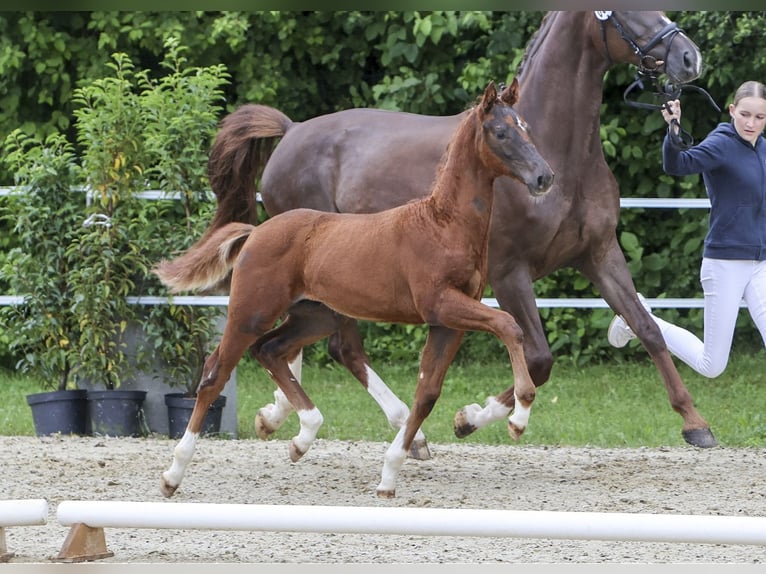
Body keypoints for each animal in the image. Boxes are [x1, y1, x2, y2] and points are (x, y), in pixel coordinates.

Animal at [156, 81, 556, 500]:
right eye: (501, 132)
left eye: (526, 128)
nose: (544, 177)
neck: (443, 224)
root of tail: (256, 232)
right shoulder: (442, 305)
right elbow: (509, 325)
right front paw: (520, 417)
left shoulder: (448, 322)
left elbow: (428, 393)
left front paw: (390, 474)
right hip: (251, 312)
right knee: (215, 374)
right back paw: (173, 474)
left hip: (315, 316)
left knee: (271, 350)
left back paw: (302, 436)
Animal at [206, 9, 720, 452]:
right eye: (623, 9)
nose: (690, 57)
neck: (559, 151)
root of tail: (291, 131)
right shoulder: (510, 273)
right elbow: (538, 357)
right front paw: (471, 418)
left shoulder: (599, 254)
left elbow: (647, 328)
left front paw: (695, 424)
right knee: (340, 346)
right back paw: (404, 432)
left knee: (303, 345)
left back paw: (278, 416)